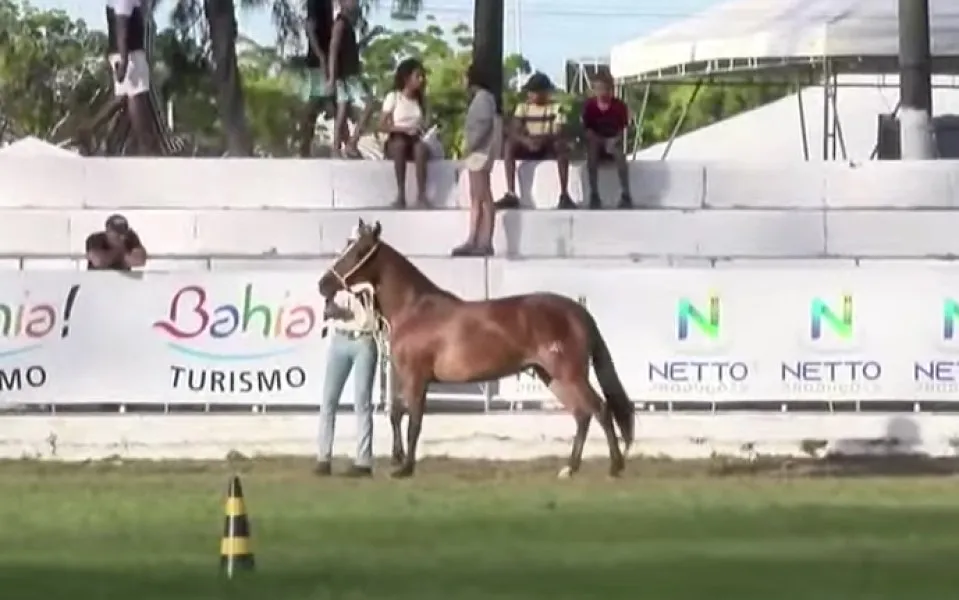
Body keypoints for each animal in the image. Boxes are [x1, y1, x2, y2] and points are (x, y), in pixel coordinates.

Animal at [318, 218, 636, 476]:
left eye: (359, 251)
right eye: (346, 245)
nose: (323, 284)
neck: (414, 309)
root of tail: (578, 311)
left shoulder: (417, 378)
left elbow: (414, 422)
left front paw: (406, 468)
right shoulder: (404, 376)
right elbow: (397, 414)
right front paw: (398, 460)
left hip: (570, 374)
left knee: (600, 409)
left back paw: (615, 466)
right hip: (553, 377)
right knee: (582, 415)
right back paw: (570, 468)